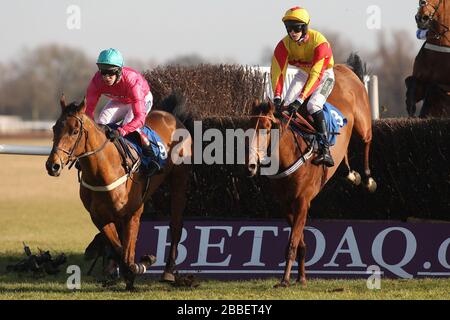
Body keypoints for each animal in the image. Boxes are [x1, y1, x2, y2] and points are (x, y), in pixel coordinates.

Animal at [45, 95, 192, 290]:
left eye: (75, 131)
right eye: (54, 128)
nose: (52, 165)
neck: (102, 172)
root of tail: (171, 115)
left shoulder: (133, 213)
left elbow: (127, 250)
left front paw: (140, 265)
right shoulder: (99, 216)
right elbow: (119, 247)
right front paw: (128, 270)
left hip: (179, 181)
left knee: (176, 224)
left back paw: (168, 271)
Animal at [246, 54, 376, 288]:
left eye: (267, 129)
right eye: (248, 129)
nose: (251, 165)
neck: (288, 157)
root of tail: (344, 68)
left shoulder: (302, 201)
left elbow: (292, 243)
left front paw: (285, 280)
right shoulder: (285, 204)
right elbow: (300, 242)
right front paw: (301, 277)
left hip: (362, 122)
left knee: (367, 140)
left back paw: (368, 178)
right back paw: (351, 174)